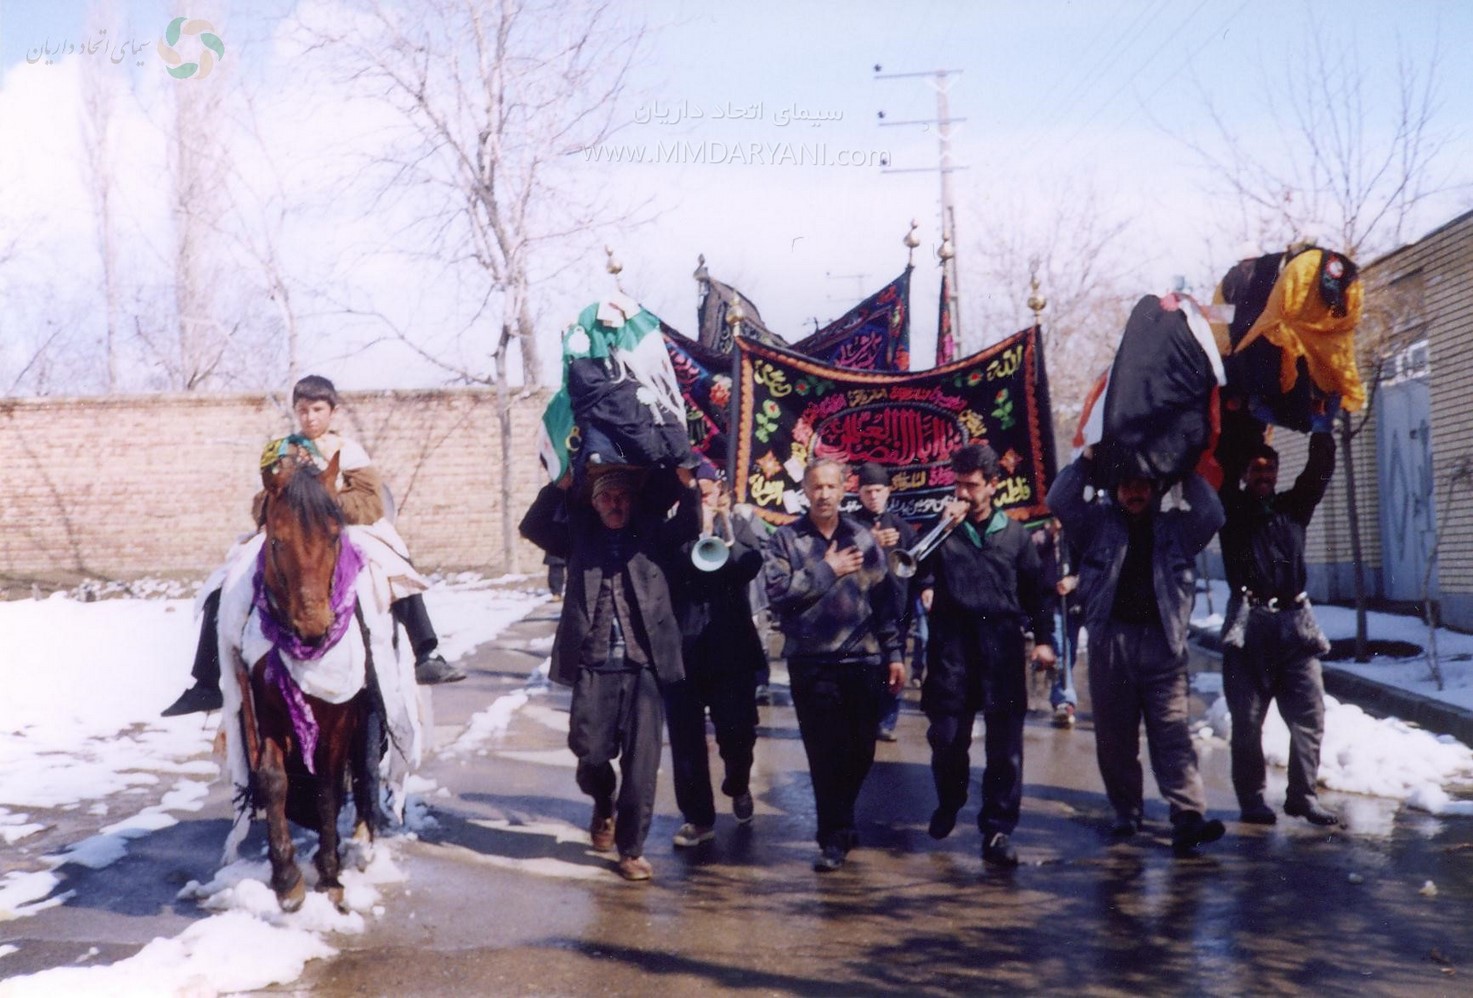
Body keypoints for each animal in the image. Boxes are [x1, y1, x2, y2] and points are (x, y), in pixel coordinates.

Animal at [235, 450, 380, 918]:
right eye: (277, 542)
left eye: (334, 537)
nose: (314, 627)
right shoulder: (266, 712)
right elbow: (272, 779)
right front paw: (286, 880)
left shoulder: (340, 720)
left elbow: (328, 787)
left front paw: (331, 875)